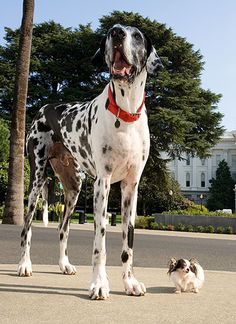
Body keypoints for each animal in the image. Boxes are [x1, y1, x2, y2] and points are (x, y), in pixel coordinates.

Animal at [17, 24, 163, 300]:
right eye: (110, 32)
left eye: (137, 35)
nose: (117, 32)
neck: (125, 113)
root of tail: (45, 107)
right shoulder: (102, 184)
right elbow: (99, 243)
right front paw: (99, 284)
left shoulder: (131, 187)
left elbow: (128, 242)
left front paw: (129, 282)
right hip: (36, 182)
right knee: (27, 228)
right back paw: (24, 264)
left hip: (73, 189)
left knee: (62, 228)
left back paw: (64, 264)